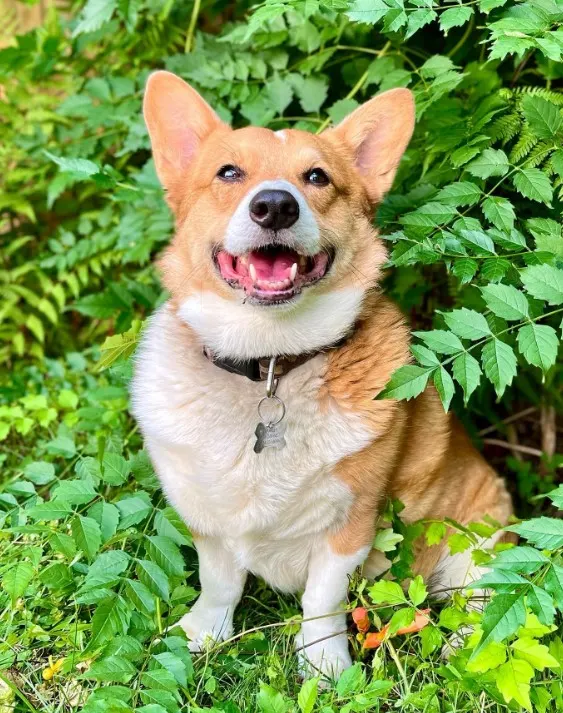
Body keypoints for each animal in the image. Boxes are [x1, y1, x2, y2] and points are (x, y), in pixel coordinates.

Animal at [131, 71, 512, 680]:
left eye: (316, 177)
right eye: (229, 172)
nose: (274, 206)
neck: (268, 365)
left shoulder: (348, 522)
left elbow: (321, 600)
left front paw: (324, 665)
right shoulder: (207, 517)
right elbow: (218, 583)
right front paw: (202, 636)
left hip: (479, 539)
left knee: (481, 607)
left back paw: (462, 651)